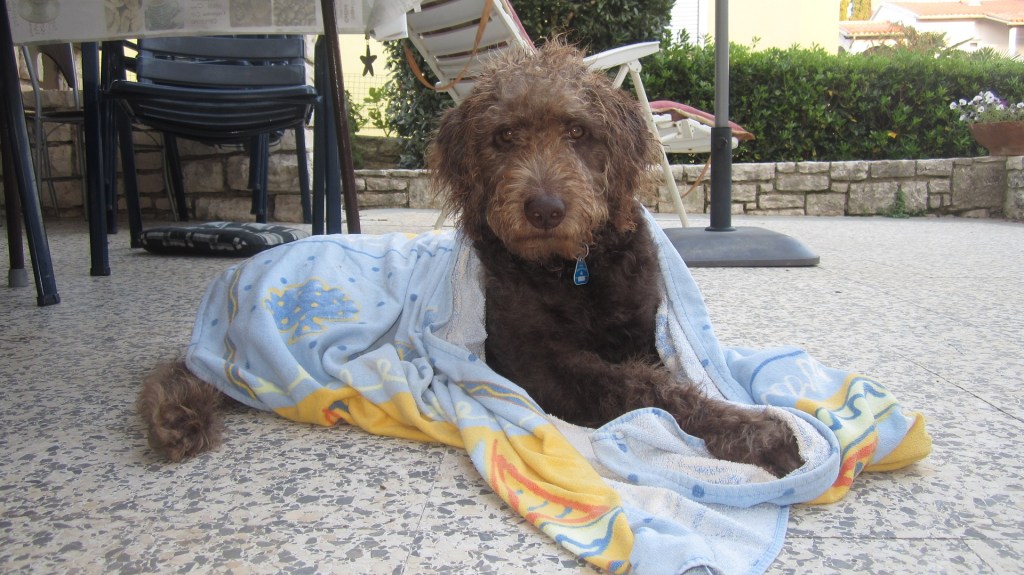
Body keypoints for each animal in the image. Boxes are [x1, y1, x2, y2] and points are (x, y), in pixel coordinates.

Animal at [138, 41, 802, 477]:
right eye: (504, 136)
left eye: (578, 132)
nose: (545, 209)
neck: (572, 270)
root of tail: (234, 274)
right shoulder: (537, 367)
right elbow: (650, 389)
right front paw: (757, 430)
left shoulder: (642, 333)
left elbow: (671, 377)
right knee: (184, 372)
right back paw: (175, 419)